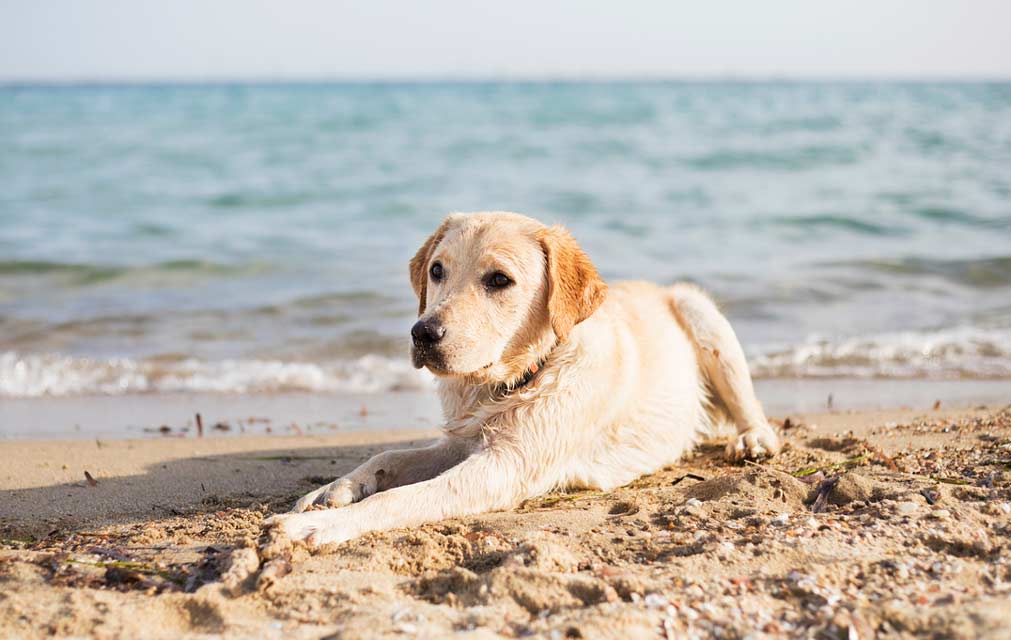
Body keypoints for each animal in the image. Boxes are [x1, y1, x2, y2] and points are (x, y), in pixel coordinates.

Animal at [264, 213, 776, 545]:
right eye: (437, 270)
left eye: (499, 280)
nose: (423, 332)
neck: (515, 378)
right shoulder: (461, 441)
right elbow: (386, 457)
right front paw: (331, 491)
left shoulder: (505, 466)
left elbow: (401, 499)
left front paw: (319, 528)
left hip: (700, 312)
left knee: (752, 408)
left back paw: (753, 440)